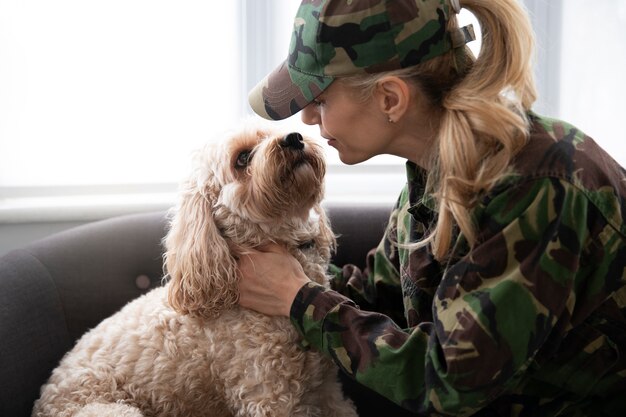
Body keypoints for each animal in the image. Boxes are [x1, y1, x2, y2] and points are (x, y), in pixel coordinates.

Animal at [33, 122, 356, 416]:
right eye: (242, 158)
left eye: (273, 132)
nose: (294, 137)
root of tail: (43, 400)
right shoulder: (268, 396)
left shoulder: (325, 389)